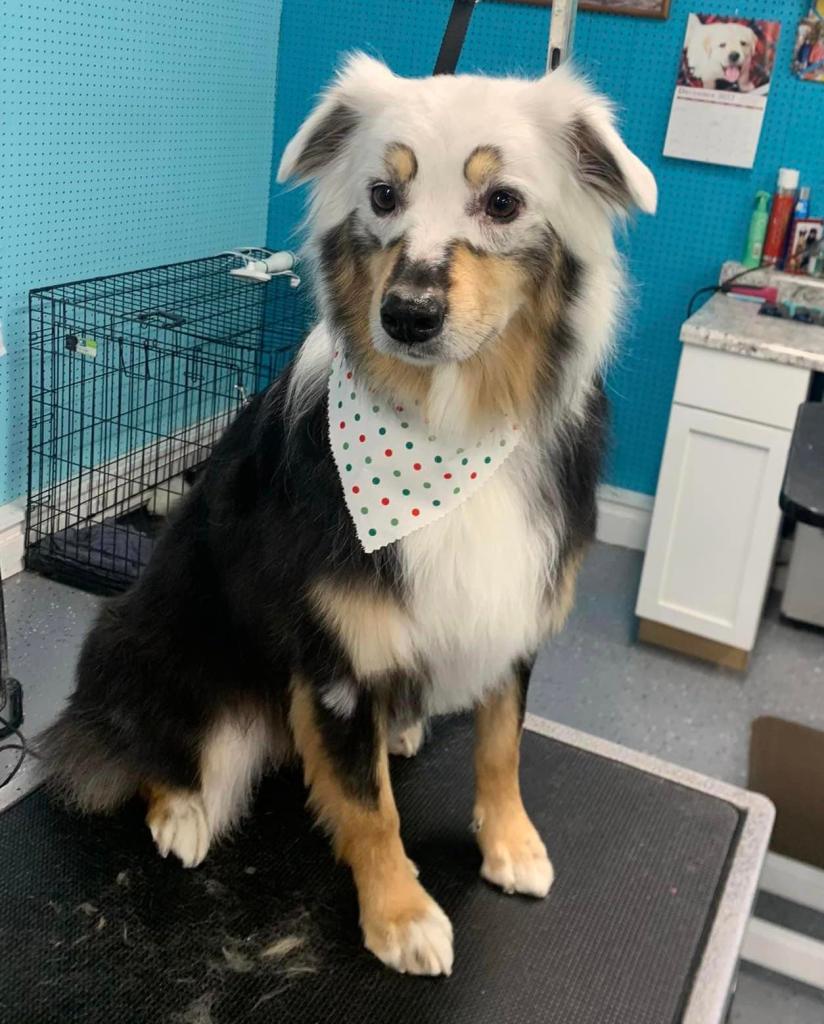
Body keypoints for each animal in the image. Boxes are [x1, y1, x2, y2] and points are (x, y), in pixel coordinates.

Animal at [43, 56, 655, 974]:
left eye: (502, 201)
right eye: (383, 195)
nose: (406, 316)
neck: (449, 427)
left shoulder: (515, 608)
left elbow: (502, 743)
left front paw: (510, 844)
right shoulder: (334, 657)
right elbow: (370, 809)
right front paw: (399, 914)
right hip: (163, 654)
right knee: (150, 754)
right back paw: (181, 812)